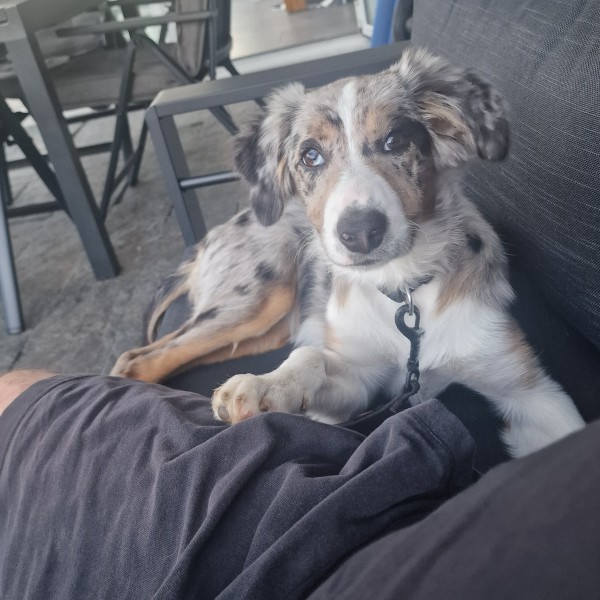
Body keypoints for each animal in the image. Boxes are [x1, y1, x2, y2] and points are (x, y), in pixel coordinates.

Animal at [111, 48, 585, 457]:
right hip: (257, 299)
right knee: (139, 359)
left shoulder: (534, 394)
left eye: (395, 140)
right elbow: (314, 357)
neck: (404, 293)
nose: (359, 233)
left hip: (264, 328)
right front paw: (266, 385)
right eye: (310, 156)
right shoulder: (358, 380)